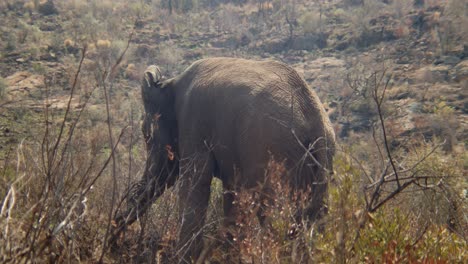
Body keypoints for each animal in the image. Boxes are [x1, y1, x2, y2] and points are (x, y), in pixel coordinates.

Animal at [111, 57, 334, 262]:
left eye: (146, 135)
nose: (115, 241)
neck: (170, 83)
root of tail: (315, 122)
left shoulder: (194, 123)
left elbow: (195, 185)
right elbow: (232, 194)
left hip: (276, 155)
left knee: (273, 215)